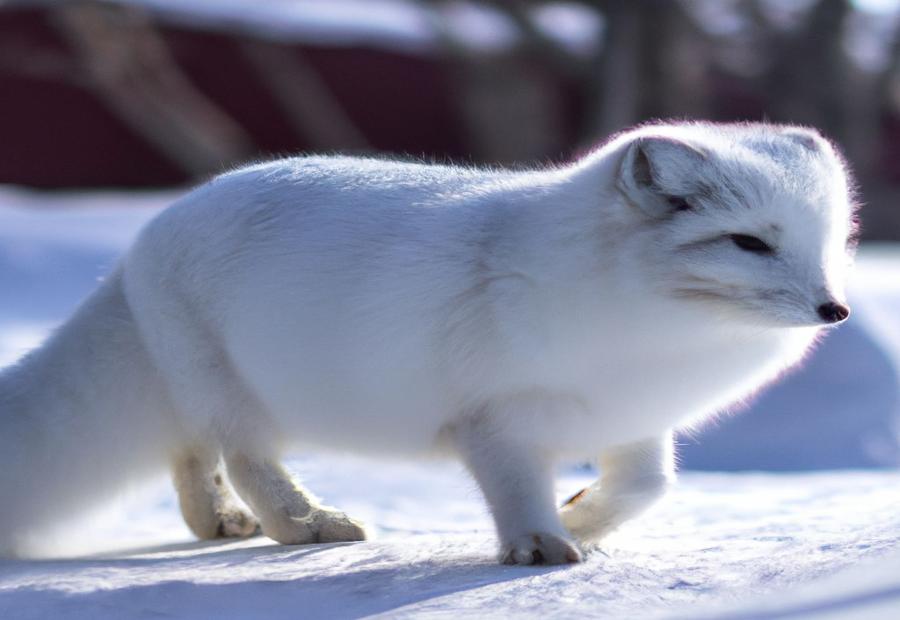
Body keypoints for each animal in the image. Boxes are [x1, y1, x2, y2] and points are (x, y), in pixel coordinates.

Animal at [0, 121, 856, 560]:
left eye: (830, 243)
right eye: (749, 243)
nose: (835, 311)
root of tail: (141, 240)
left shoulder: (633, 420)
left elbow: (648, 488)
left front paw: (578, 521)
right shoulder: (493, 419)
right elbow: (518, 489)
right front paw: (538, 544)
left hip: (194, 389)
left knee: (190, 452)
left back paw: (217, 524)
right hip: (233, 392)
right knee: (244, 459)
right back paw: (304, 525)